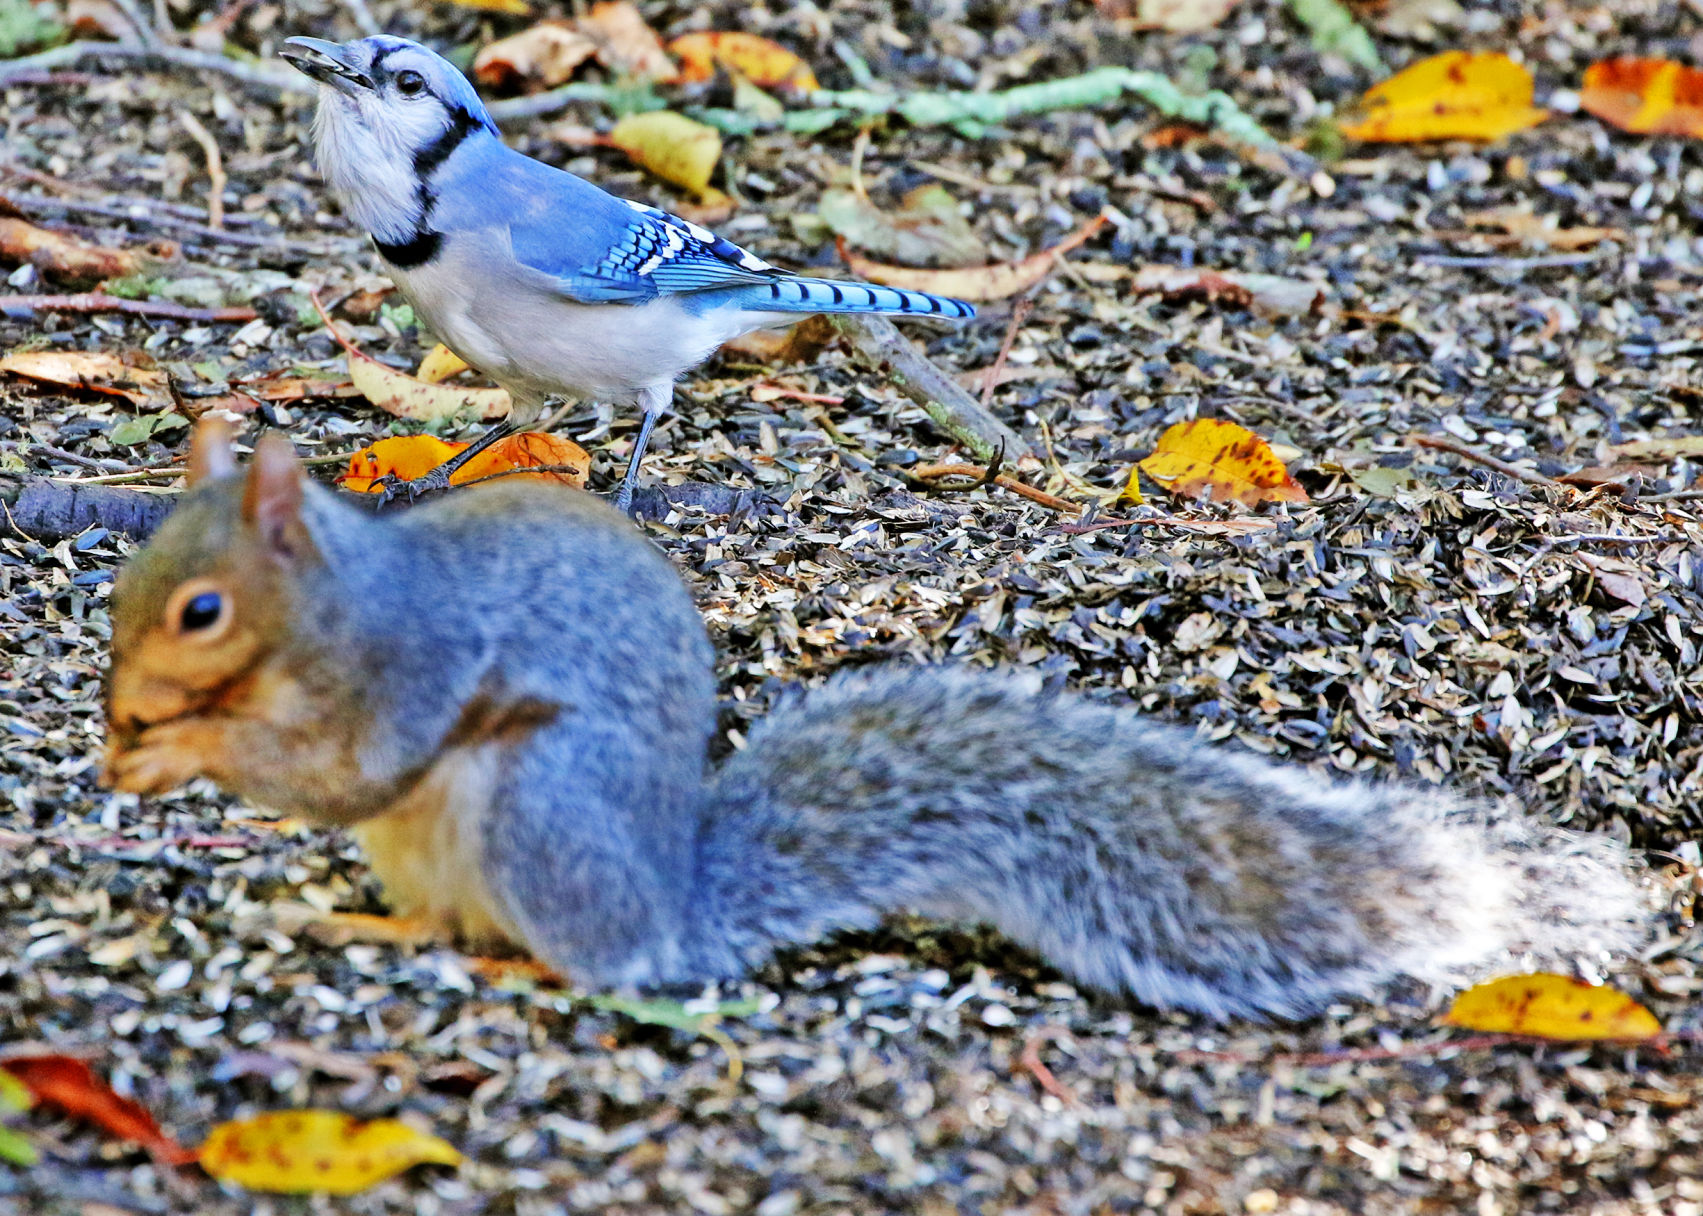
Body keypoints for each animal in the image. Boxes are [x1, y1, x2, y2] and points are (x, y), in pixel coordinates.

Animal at [99, 424, 1641, 1015]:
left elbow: (342, 767)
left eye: (202, 611)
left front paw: (178, 751)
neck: (328, 608)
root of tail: (672, 902)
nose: (117, 709)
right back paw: (339, 916)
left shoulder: (409, 669)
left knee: (538, 947)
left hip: (536, 809)